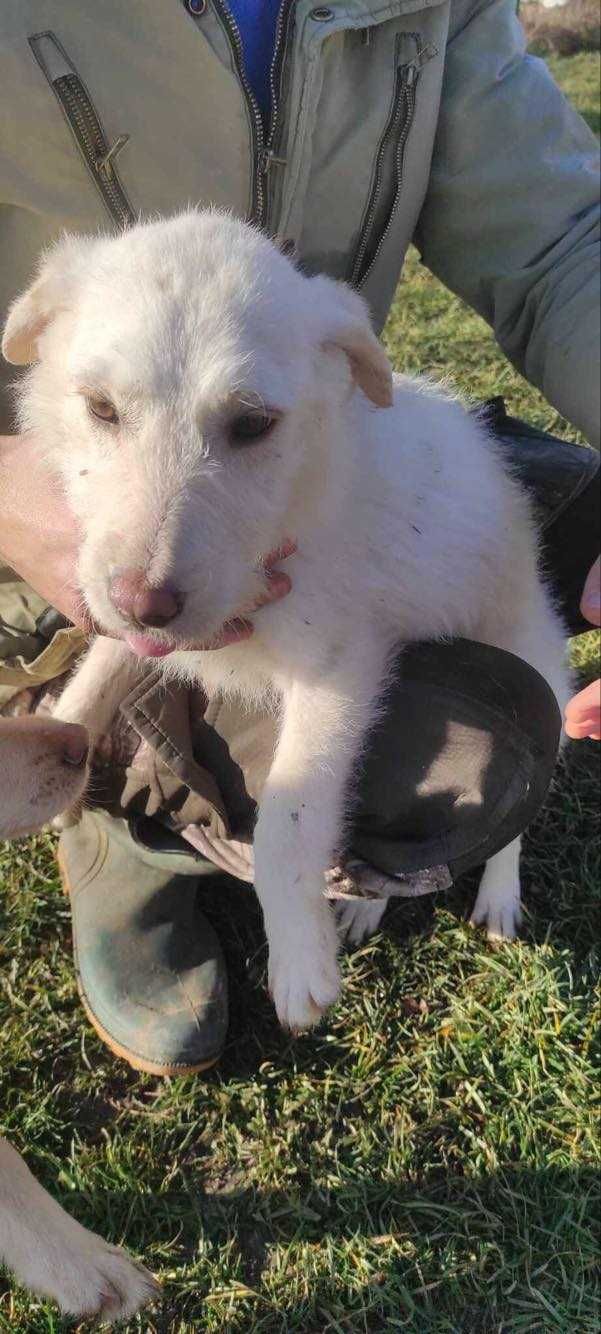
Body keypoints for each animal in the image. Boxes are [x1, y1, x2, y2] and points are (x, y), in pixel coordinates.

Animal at [2, 210, 573, 1029]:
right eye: (101, 409)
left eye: (252, 425)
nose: (147, 601)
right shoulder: (135, 618)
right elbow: (97, 673)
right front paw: (56, 745)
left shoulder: (337, 674)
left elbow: (290, 818)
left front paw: (299, 961)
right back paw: (365, 909)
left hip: (540, 681)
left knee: (514, 824)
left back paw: (497, 895)